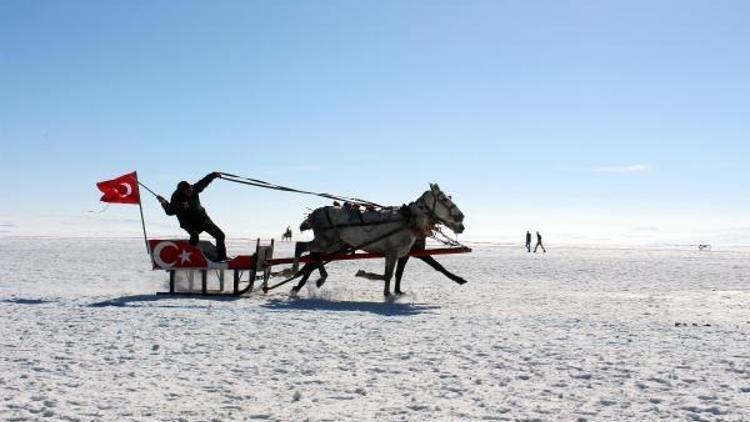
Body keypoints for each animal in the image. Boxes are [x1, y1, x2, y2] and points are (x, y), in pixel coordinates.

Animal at [292, 185, 464, 296]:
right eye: (443, 199)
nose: (461, 218)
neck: (409, 221)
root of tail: (315, 213)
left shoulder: (399, 254)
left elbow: (392, 274)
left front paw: (390, 290)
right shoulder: (394, 252)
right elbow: (389, 275)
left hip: (333, 245)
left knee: (313, 257)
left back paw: (304, 281)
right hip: (326, 241)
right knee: (301, 247)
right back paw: (295, 271)